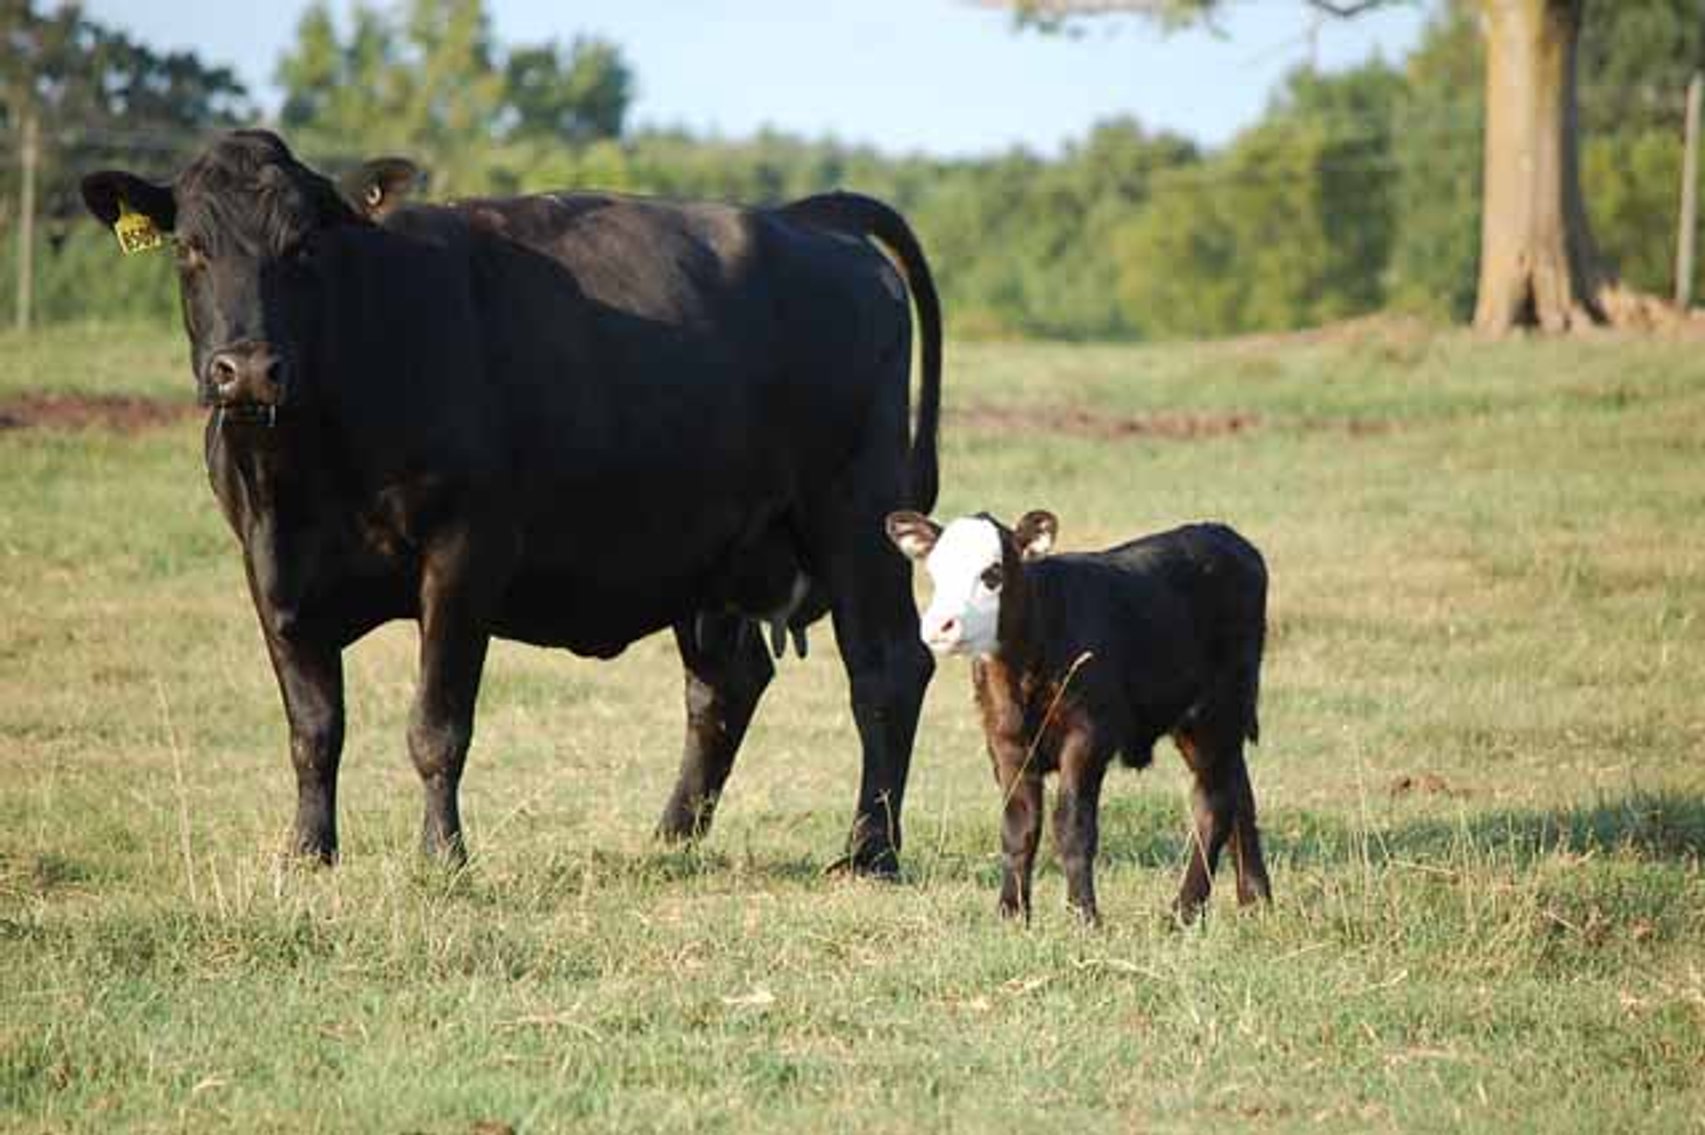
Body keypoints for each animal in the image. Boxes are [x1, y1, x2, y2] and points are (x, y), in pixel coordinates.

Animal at [79, 129, 942, 875]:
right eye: (191, 247)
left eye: (303, 247)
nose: (249, 370)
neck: (303, 467)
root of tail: (808, 219)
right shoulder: (269, 572)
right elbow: (314, 727)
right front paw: (308, 852)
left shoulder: (465, 552)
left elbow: (437, 725)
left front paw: (442, 854)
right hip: (710, 554)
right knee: (726, 685)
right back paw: (668, 840)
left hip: (854, 515)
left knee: (886, 669)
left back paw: (869, 850)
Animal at [885, 509, 1271, 924]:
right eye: (934, 571)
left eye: (993, 573)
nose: (939, 626)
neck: (1025, 665)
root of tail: (1227, 537)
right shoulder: (1004, 741)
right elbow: (1019, 826)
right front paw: (1011, 913)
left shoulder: (1088, 735)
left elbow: (1072, 825)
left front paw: (1083, 914)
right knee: (1239, 792)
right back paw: (1255, 899)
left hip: (1215, 712)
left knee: (1214, 804)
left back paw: (1184, 910)